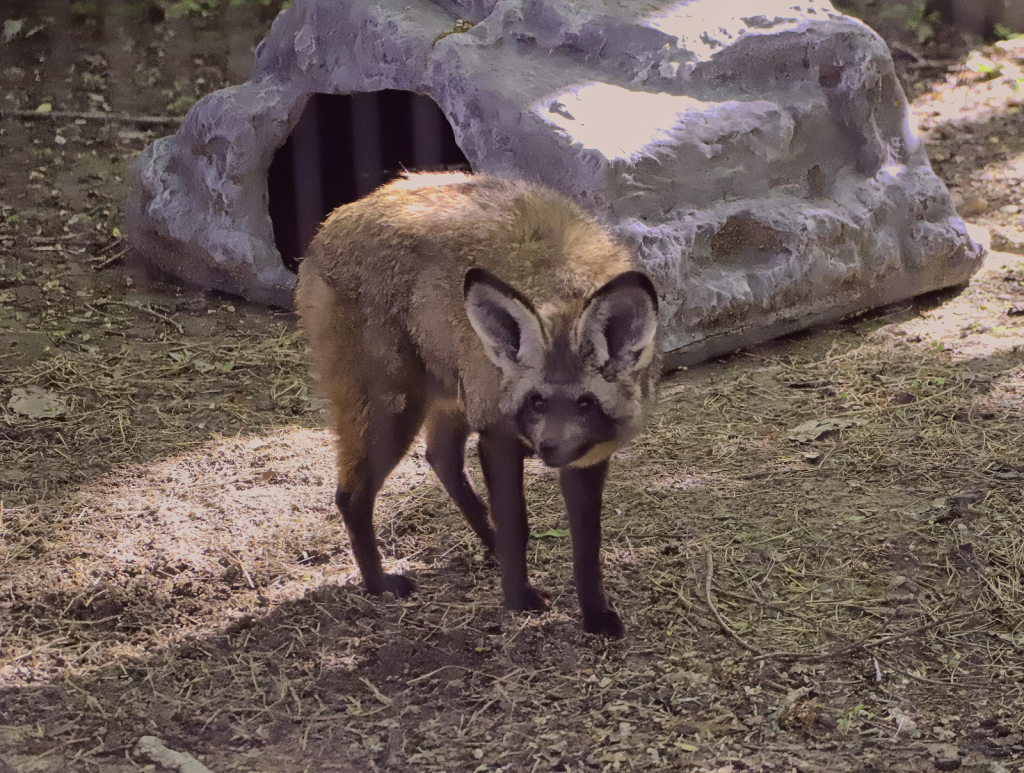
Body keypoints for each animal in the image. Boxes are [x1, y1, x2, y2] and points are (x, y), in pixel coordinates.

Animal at [296, 172, 663, 638]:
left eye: (584, 403)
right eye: (537, 401)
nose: (547, 450)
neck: (560, 282)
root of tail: (331, 223)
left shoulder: (587, 457)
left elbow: (587, 544)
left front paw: (595, 615)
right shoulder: (497, 435)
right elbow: (517, 524)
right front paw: (519, 600)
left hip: (449, 400)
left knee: (439, 459)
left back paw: (488, 544)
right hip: (394, 413)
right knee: (351, 495)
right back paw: (378, 585)